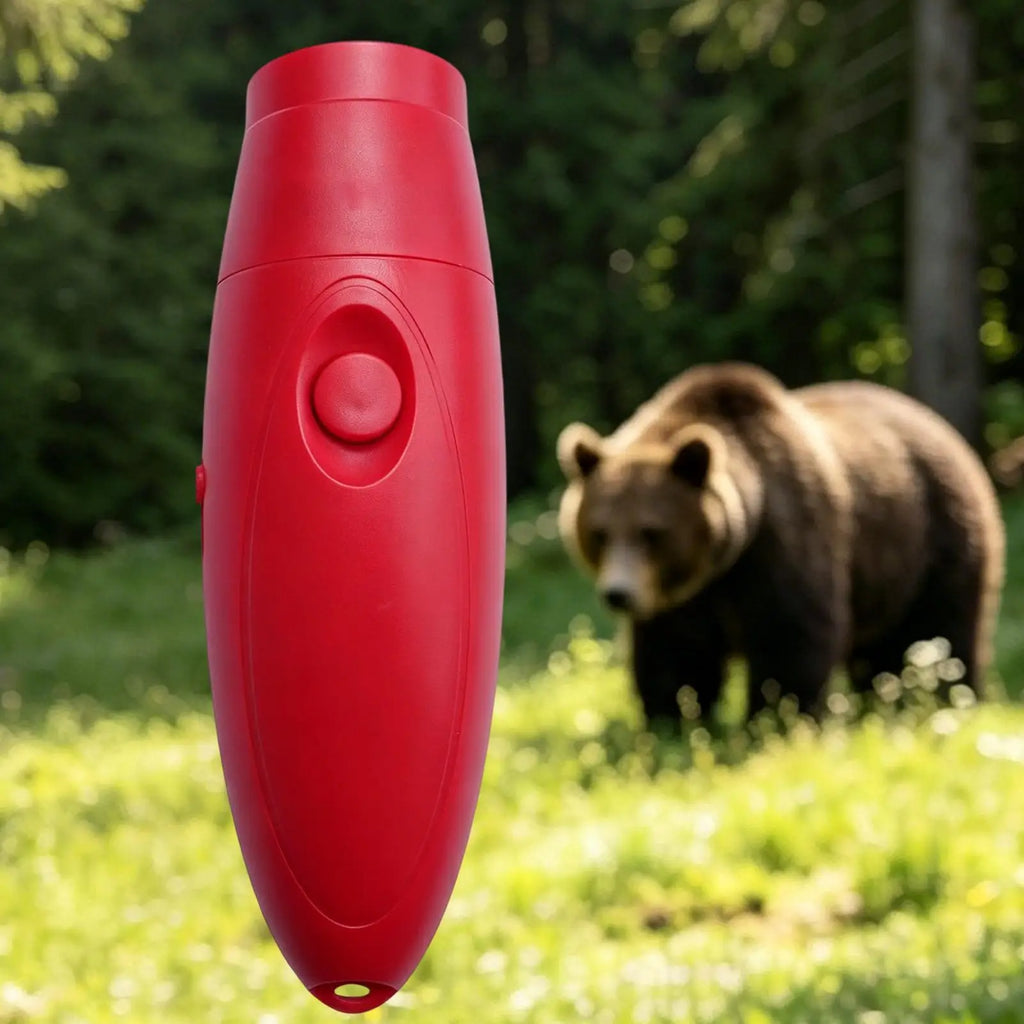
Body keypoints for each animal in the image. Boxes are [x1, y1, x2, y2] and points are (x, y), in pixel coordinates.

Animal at [556, 362, 1005, 727]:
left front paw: (774, 717)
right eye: (600, 531)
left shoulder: (787, 543)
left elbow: (790, 637)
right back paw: (882, 699)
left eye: (652, 531)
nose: (618, 594)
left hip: (933, 532)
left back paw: (947, 698)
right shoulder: (680, 598)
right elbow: (675, 654)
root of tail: (939, 425)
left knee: (942, 628)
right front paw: (673, 717)